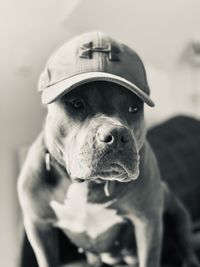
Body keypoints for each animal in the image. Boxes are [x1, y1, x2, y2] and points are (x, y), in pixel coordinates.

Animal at [18, 31, 199, 267]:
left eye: (134, 108)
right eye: (77, 103)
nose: (117, 136)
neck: (87, 185)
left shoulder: (147, 221)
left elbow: (149, 256)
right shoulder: (38, 227)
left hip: (176, 211)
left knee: (186, 246)